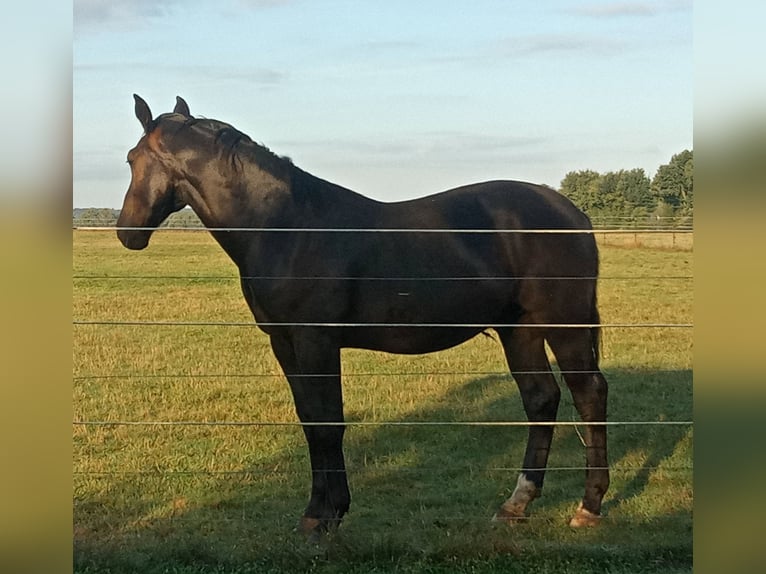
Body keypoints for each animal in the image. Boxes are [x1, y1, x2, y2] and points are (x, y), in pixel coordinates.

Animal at [115, 94, 612, 540]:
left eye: (132, 158)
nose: (127, 232)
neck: (286, 226)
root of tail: (570, 212)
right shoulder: (284, 342)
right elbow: (310, 422)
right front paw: (321, 512)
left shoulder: (315, 340)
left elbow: (327, 422)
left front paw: (323, 516)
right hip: (519, 330)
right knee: (540, 398)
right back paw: (516, 504)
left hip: (564, 326)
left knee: (588, 393)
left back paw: (589, 506)